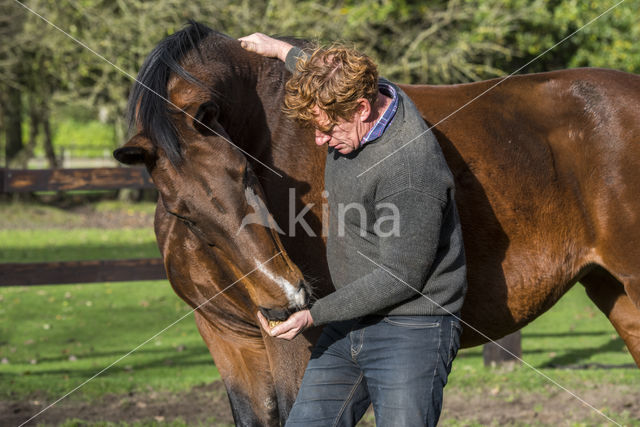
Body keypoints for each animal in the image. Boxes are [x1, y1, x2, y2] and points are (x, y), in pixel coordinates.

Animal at [114, 21, 640, 426]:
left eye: (247, 175)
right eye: (182, 212)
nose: (286, 300)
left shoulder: (295, 346)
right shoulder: (228, 341)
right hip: (614, 292)